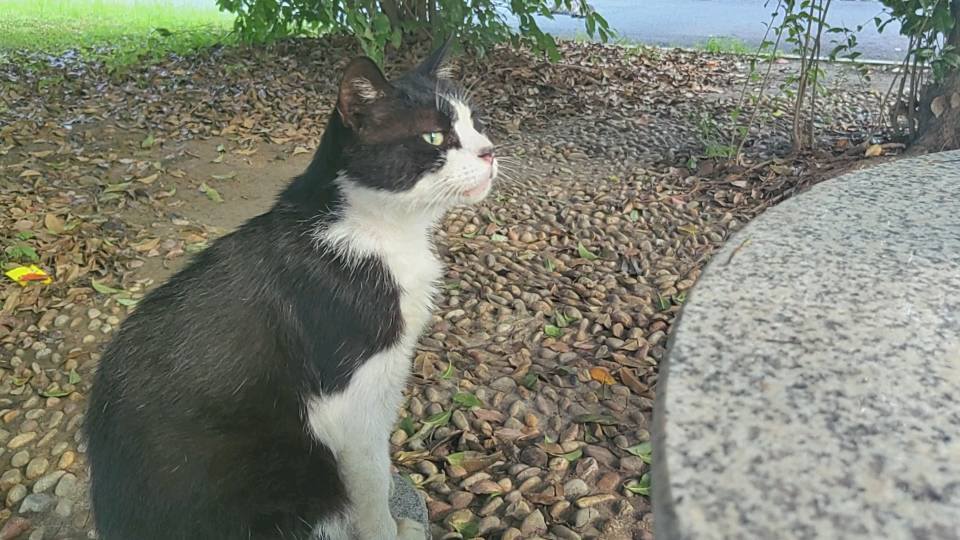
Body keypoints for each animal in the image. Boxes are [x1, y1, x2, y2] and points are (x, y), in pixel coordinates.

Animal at [85, 39, 497, 540]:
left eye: (476, 123)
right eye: (434, 138)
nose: (490, 152)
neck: (377, 232)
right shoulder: (346, 397)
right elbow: (371, 477)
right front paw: (389, 529)